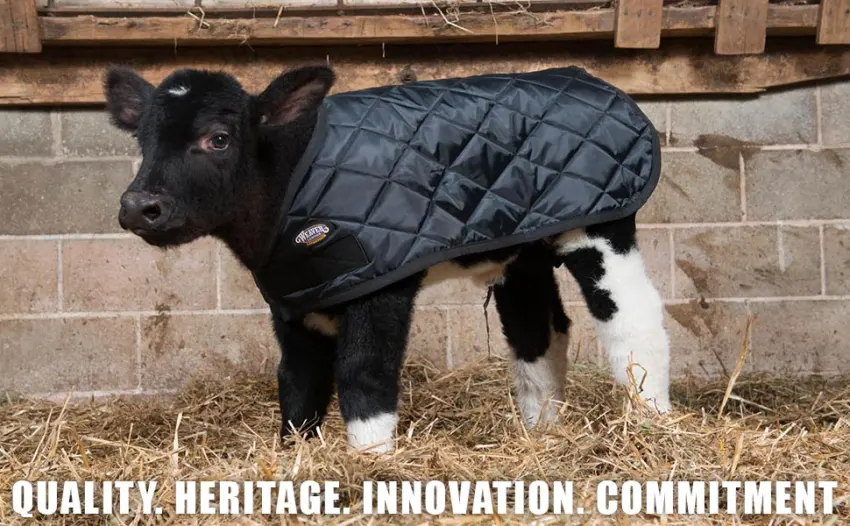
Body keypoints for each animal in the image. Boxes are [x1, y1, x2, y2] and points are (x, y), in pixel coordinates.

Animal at [105, 64, 671, 453]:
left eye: (218, 139)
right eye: (143, 141)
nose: (138, 206)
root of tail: (586, 77)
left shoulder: (379, 283)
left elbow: (364, 376)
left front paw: (371, 461)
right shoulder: (297, 297)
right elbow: (298, 384)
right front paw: (296, 461)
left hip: (602, 227)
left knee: (635, 320)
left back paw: (653, 424)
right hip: (525, 247)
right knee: (538, 331)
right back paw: (541, 434)